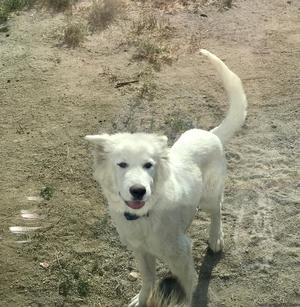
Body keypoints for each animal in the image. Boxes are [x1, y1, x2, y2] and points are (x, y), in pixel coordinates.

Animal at [84, 49, 246, 306]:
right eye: (122, 164)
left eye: (148, 165)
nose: (138, 190)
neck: (145, 216)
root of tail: (211, 134)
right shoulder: (140, 251)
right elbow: (148, 279)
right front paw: (141, 299)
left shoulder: (181, 252)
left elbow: (190, 287)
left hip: (209, 196)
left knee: (217, 210)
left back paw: (215, 237)